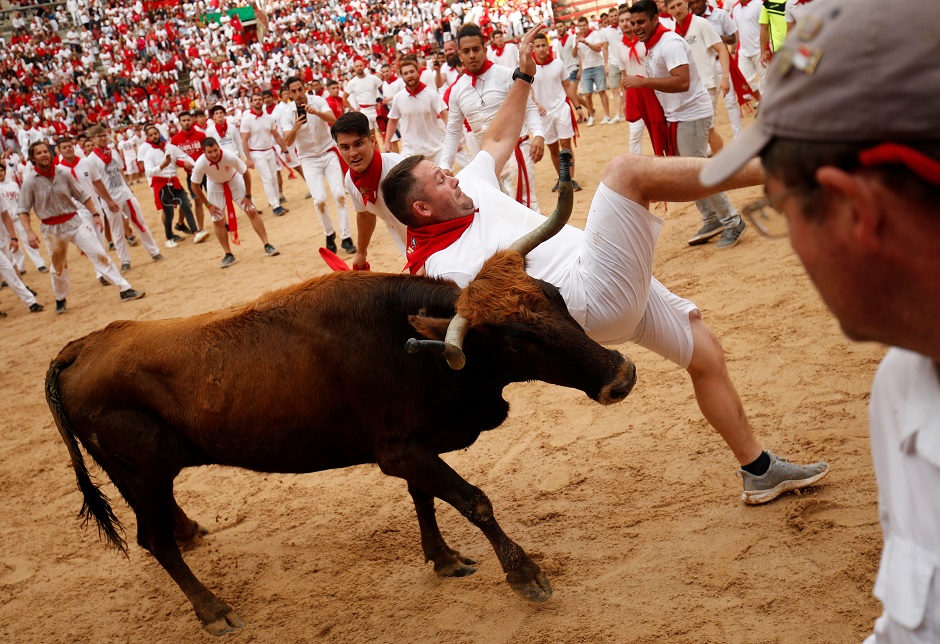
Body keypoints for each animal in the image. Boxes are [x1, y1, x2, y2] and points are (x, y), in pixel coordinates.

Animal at [42, 153, 632, 636]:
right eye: (516, 341)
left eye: (554, 296)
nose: (620, 375)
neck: (406, 342)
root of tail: (82, 345)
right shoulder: (402, 451)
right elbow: (474, 501)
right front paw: (525, 573)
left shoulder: (413, 447)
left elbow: (425, 499)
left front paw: (443, 559)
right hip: (138, 472)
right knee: (154, 540)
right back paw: (213, 610)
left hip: (149, 475)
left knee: (164, 524)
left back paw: (191, 530)